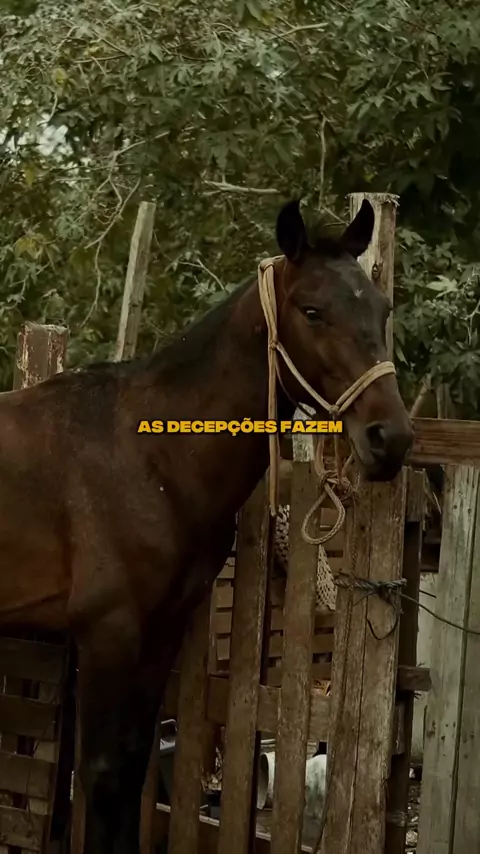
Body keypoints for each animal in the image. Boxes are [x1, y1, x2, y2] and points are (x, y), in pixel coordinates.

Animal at [0, 197, 414, 854]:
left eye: (382, 308)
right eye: (313, 310)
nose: (389, 438)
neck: (148, 458)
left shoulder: (162, 629)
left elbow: (130, 768)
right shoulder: (107, 632)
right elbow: (104, 774)